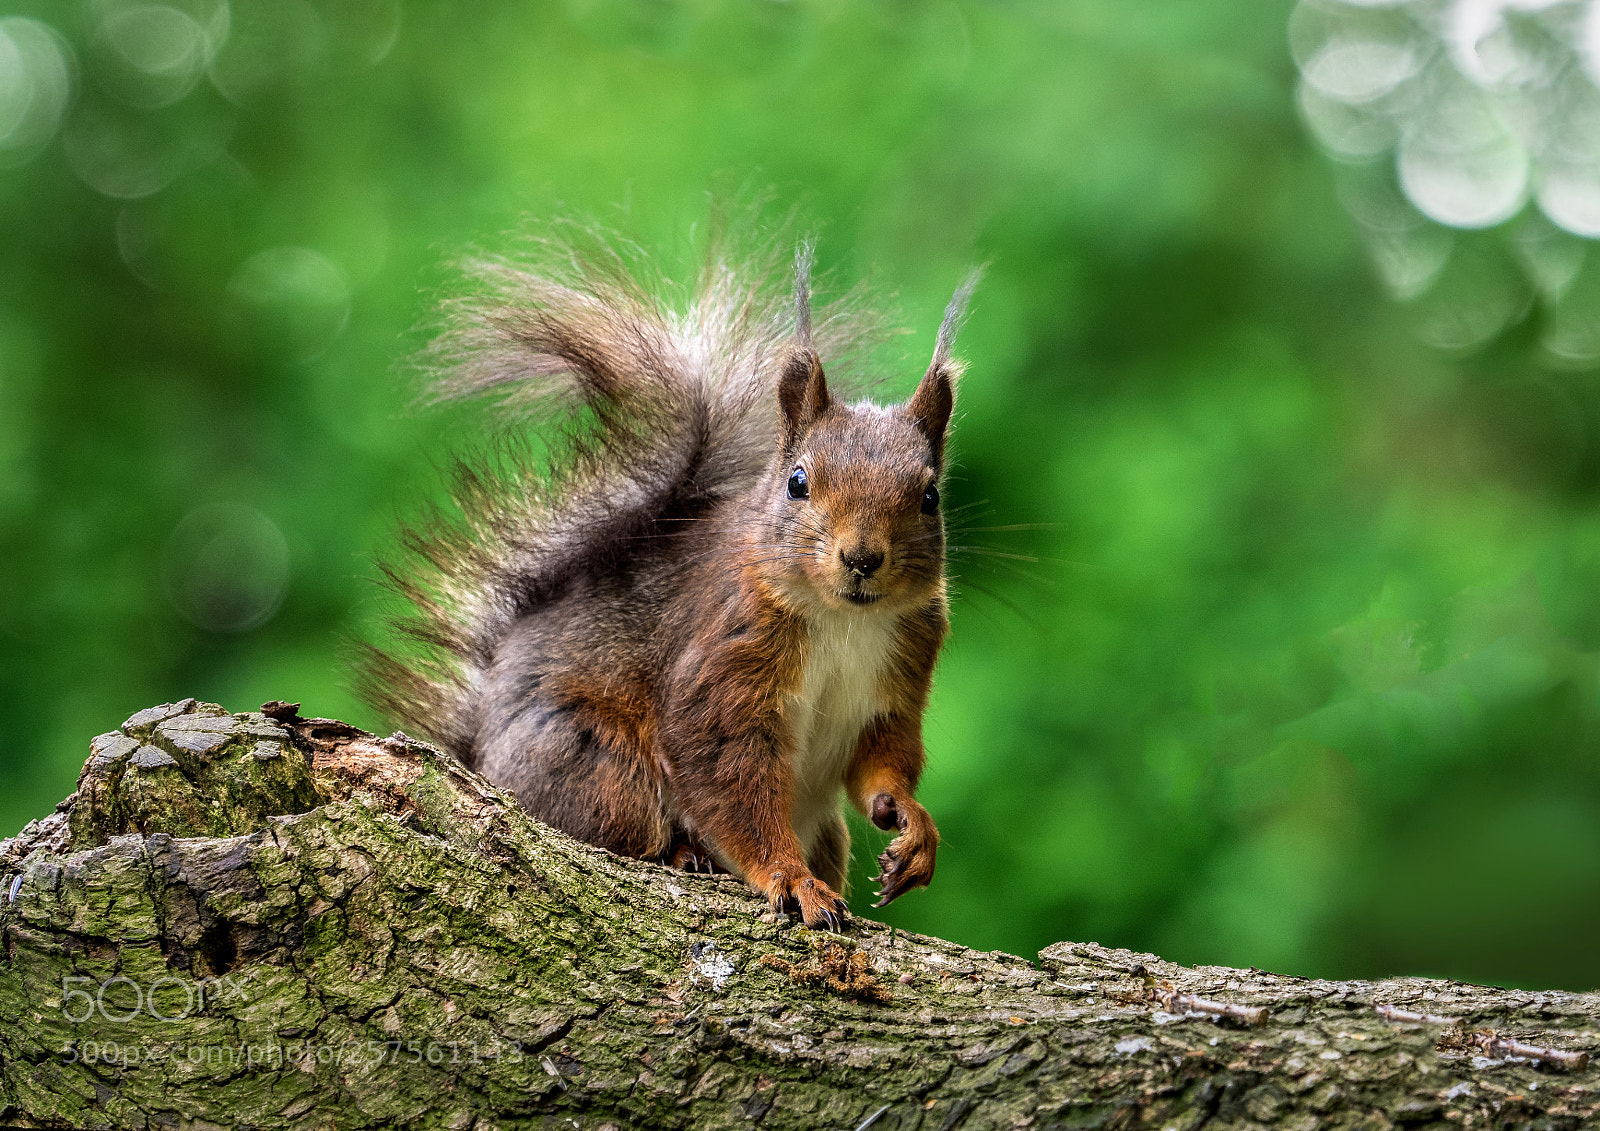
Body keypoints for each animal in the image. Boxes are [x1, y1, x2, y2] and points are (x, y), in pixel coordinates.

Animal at [360, 225, 978, 930]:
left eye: (929, 497)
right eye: (797, 482)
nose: (863, 559)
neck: (843, 619)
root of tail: (483, 759)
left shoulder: (902, 671)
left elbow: (883, 763)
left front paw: (912, 825)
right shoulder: (725, 660)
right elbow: (729, 781)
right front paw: (791, 879)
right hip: (596, 764)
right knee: (622, 830)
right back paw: (684, 854)